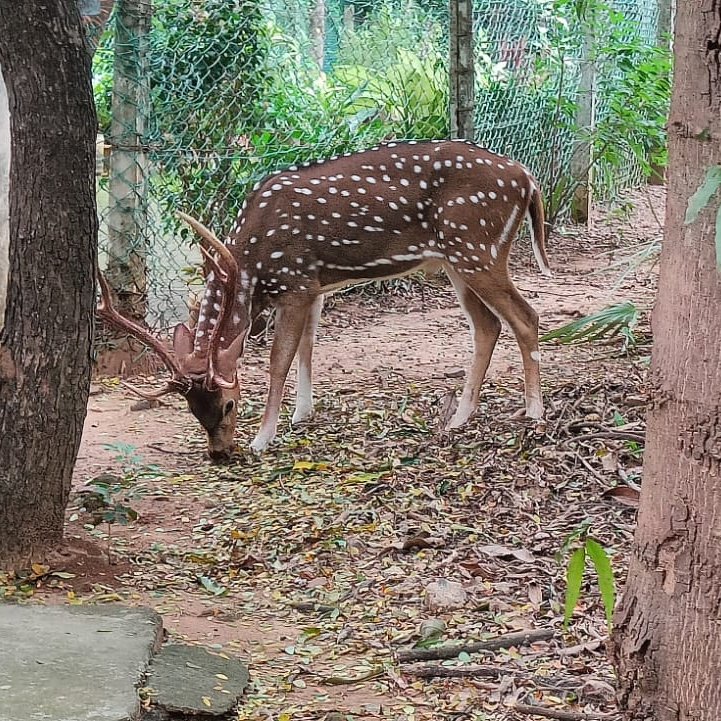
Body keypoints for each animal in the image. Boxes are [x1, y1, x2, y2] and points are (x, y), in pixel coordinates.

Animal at [96, 139, 550, 462]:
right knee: (488, 326)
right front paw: (302, 413)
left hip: (477, 247)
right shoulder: (314, 286)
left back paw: (533, 413)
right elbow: (308, 348)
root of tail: (528, 179)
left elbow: (279, 360)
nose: (220, 454)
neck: (252, 264)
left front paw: (264, 437)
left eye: (227, 405)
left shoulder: (294, 282)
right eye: (193, 411)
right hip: (457, 260)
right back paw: (459, 418)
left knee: (526, 317)